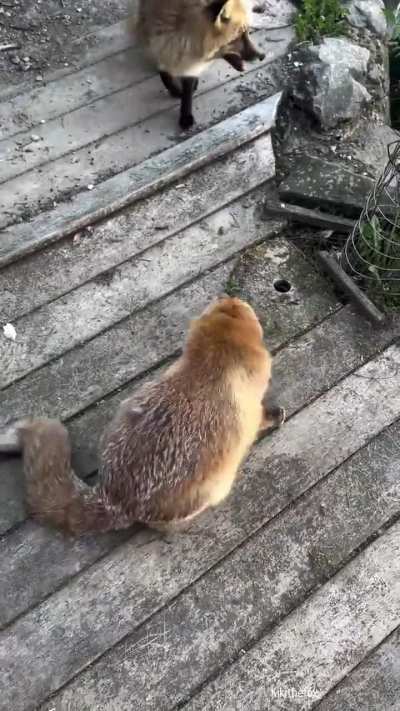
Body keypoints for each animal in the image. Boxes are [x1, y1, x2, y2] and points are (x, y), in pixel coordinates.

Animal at [0, 297, 285, 536]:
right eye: (238, 306)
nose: (231, 296)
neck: (212, 367)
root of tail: (115, 499)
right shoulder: (249, 416)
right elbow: (260, 419)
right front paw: (275, 416)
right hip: (213, 488)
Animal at [133, 0, 265, 129]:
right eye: (237, 37)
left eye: (247, 32)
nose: (262, 56)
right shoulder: (154, 37)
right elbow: (164, 72)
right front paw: (174, 90)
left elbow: (187, 88)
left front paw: (185, 114)